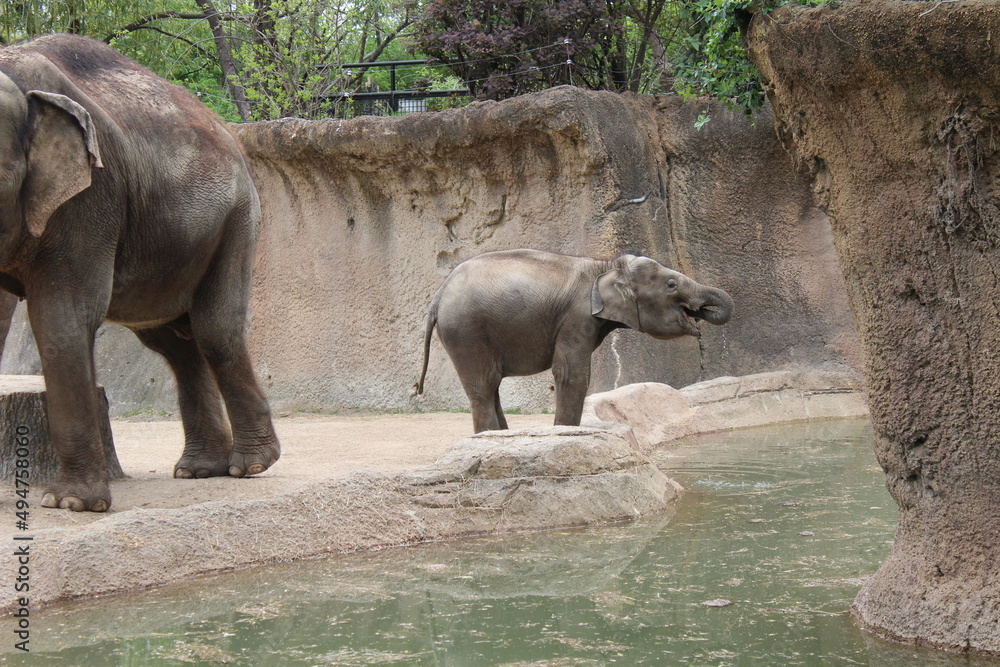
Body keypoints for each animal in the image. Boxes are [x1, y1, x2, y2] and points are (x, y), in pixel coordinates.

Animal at [0, 35, 282, 512]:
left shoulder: (90, 196)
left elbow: (62, 318)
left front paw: (70, 504)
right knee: (174, 343)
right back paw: (198, 470)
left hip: (239, 220)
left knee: (214, 331)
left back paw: (250, 465)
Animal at [414, 250, 736, 434]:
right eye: (671, 285)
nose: (700, 314)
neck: (605, 266)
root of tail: (436, 298)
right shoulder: (576, 317)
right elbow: (572, 373)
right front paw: (565, 433)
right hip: (466, 330)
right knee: (483, 384)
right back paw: (489, 438)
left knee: (491, 383)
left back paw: (501, 436)